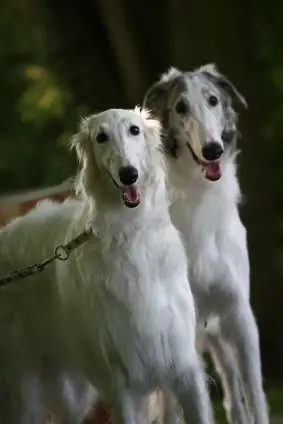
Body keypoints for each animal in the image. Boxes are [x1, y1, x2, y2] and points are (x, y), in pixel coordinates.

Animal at [0, 107, 215, 424]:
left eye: (134, 130)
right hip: (23, 387)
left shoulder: (183, 369)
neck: (133, 236)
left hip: (69, 389)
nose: (128, 175)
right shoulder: (123, 383)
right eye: (101, 137)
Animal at [144, 63, 270, 424]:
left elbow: (254, 394)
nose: (212, 149)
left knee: (233, 392)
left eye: (213, 99)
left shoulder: (239, 314)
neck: (200, 195)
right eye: (180, 107)